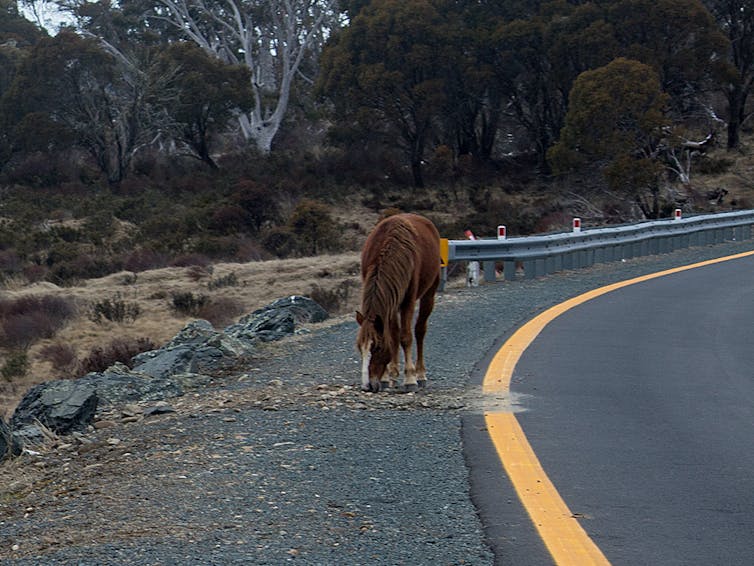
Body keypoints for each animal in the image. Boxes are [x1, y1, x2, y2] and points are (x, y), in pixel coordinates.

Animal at [354, 214, 438, 394]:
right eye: (360, 348)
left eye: (377, 347)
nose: (366, 386)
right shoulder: (389, 303)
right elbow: (392, 337)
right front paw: (386, 377)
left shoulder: (407, 301)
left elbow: (405, 337)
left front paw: (410, 379)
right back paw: (392, 375)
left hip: (429, 293)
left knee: (420, 330)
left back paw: (420, 374)